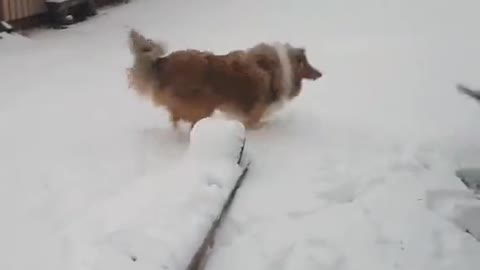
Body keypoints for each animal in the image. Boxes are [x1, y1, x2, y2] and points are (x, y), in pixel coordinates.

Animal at [127, 29, 322, 130]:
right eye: (306, 63)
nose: (320, 74)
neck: (281, 66)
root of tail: (161, 62)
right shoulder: (254, 114)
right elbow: (256, 123)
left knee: (174, 118)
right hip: (204, 103)